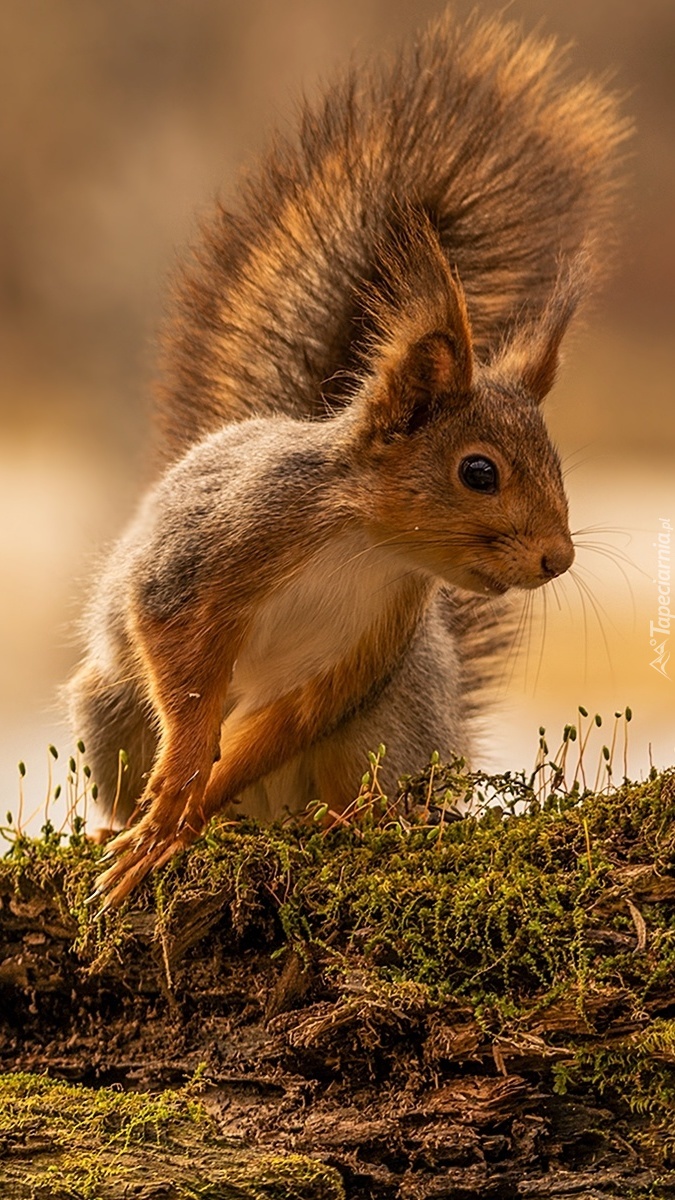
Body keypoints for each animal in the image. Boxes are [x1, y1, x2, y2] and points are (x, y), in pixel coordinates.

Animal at [68, 9, 624, 907]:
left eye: (557, 464)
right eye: (478, 471)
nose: (557, 559)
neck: (364, 543)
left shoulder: (360, 650)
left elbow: (283, 721)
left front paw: (184, 818)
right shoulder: (217, 551)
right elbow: (181, 669)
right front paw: (168, 812)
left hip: (388, 729)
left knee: (347, 789)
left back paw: (350, 822)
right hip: (109, 712)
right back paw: (136, 827)